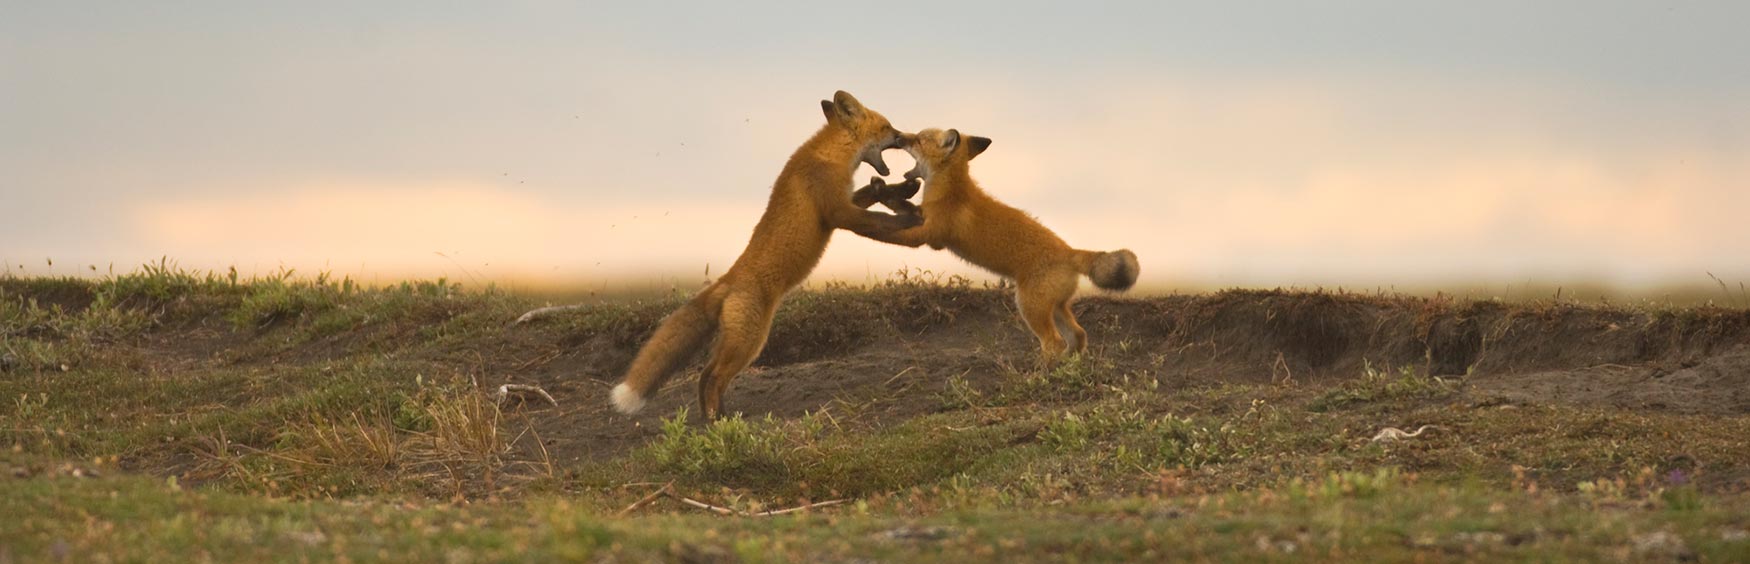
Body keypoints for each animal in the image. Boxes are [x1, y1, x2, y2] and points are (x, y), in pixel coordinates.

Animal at [612, 91, 924, 418]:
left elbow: (870, 194)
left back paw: (716, 418)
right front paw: (910, 219)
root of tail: (728, 280)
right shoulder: (837, 212)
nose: (905, 137)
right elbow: (878, 221)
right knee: (714, 377)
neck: (832, 155)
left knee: (705, 375)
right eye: (887, 127)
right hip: (750, 341)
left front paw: (900, 189)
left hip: (736, 341)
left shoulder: (843, 201)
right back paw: (719, 421)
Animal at [854, 128, 1141, 360]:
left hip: (1029, 306)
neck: (950, 190)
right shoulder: (919, 216)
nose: (899, 136)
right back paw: (1070, 366)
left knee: (1054, 343)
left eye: (919, 139)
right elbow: (897, 205)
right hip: (1056, 307)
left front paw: (861, 226)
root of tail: (1069, 251)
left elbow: (887, 233)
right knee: (1078, 335)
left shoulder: (925, 235)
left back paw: (1039, 375)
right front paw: (880, 192)